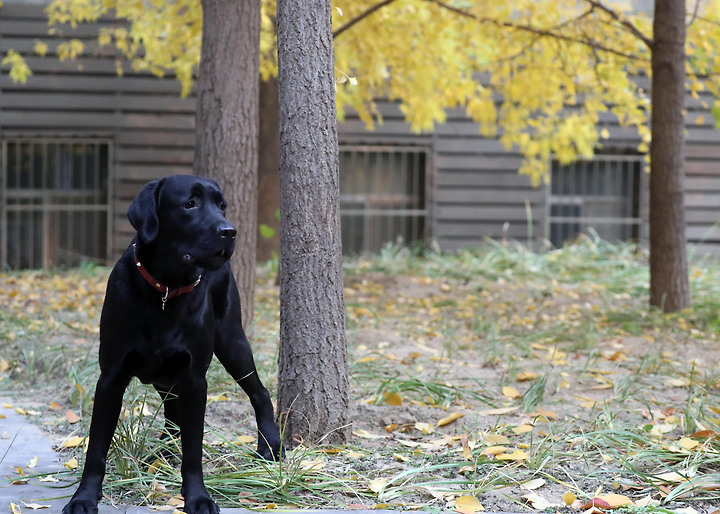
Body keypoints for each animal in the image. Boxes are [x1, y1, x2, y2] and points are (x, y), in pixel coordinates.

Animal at [63, 175, 282, 512]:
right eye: (189, 204)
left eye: (222, 206)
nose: (229, 231)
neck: (165, 289)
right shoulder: (111, 377)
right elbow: (97, 446)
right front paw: (83, 497)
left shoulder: (194, 379)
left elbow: (193, 449)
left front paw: (198, 497)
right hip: (167, 374)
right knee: (171, 411)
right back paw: (163, 452)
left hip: (232, 343)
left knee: (260, 393)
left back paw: (269, 447)